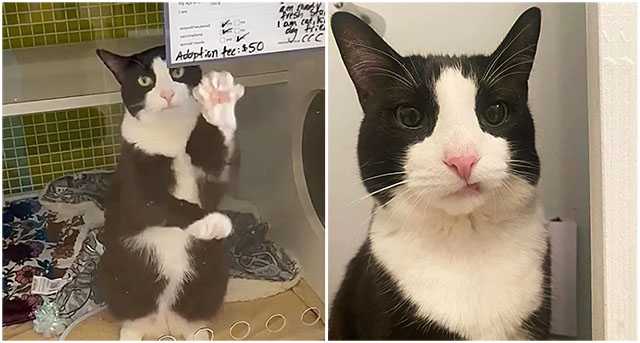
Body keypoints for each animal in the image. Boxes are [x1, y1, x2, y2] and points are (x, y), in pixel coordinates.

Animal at [95, 45, 245, 342]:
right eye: (144, 80)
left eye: (177, 71)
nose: (166, 93)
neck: (171, 135)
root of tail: (164, 323)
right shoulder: (132, 173)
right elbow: (154, 204)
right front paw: (211, 222)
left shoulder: (212, 175)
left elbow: (219, 173)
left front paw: (218, 102)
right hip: (114, 275)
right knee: (131, 318)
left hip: (212, 276)